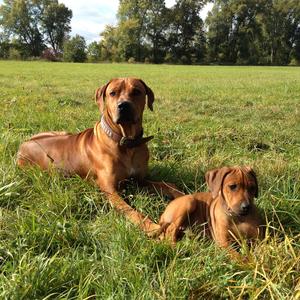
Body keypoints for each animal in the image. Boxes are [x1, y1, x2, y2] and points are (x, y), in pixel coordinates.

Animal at [18, 78, 184, 237]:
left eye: (136, 91)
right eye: (112, 93)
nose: (123, 105)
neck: (126, 143)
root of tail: (23, 144)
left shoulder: (139, 180)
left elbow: (169, 185)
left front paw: (183, 196)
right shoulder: (110, 190)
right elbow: (129, 210)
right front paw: (151, 227)